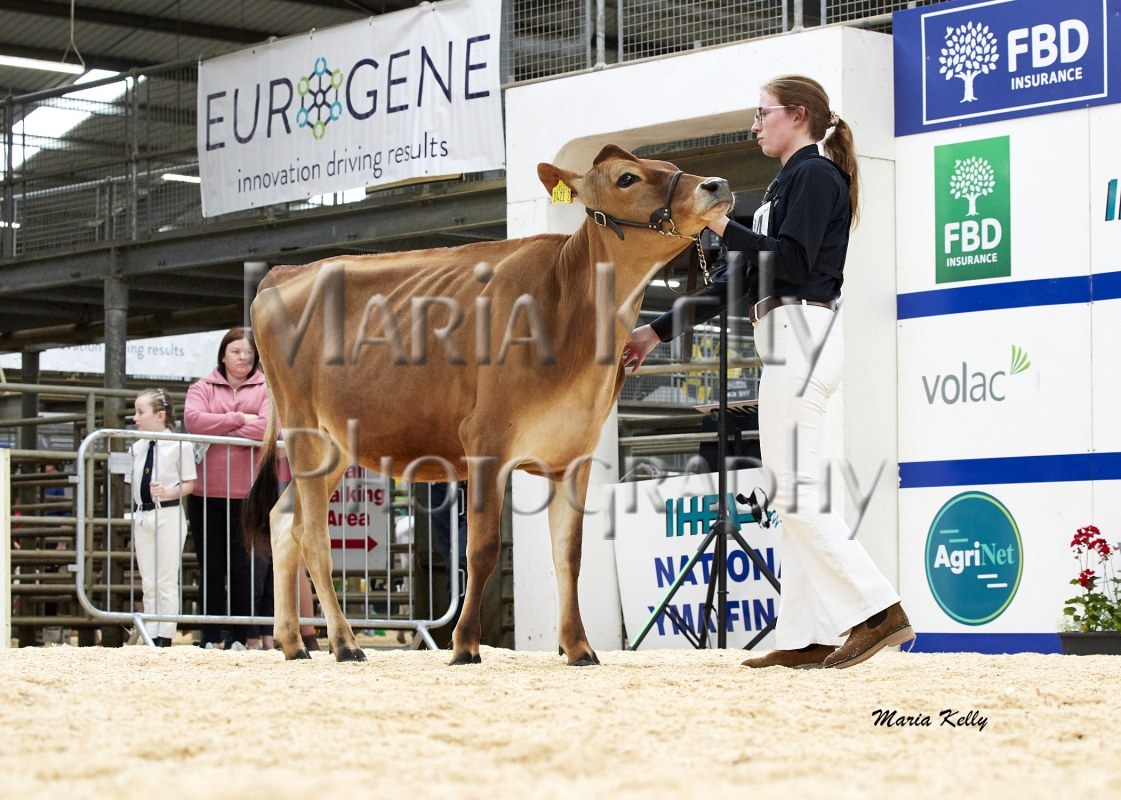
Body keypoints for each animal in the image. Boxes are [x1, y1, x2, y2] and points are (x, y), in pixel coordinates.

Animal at [242, 145, 733, 665]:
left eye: (668, 166)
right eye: (627, 178)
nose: (718, 185)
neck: (571, 309)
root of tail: (285, 273)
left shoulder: (575, 455)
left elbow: (569, 554)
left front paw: (579, 647)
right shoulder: (485, 442)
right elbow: (481, 550)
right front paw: (465, 646)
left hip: (336, 445)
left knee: (284, 521)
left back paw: (293, 643)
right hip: (304, 431)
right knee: (313, 534)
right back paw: (344, 642)